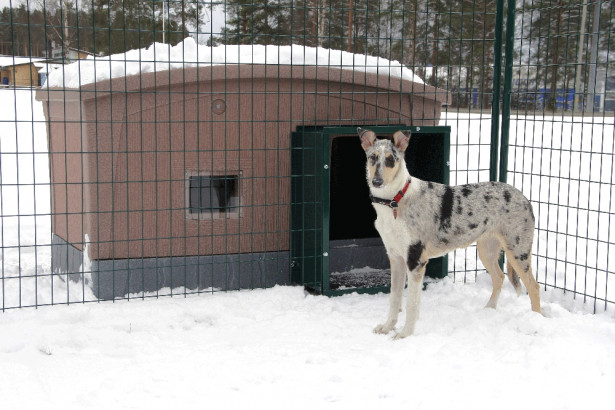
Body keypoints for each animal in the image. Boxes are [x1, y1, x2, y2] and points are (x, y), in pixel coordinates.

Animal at [358, 128, 540, 340]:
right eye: (372, 157)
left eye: (390, 160)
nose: (377, 182)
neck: (394, 201)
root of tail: (524, 196)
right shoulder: (396, 259)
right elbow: (394, 300)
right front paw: (388, 328)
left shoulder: (416, 261)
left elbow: (411, 305)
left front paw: (405, 334)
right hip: (486, 251)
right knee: (500, 277)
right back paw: (489, 310)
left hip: (518, 252)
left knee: (534, 287)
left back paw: (537, 323)